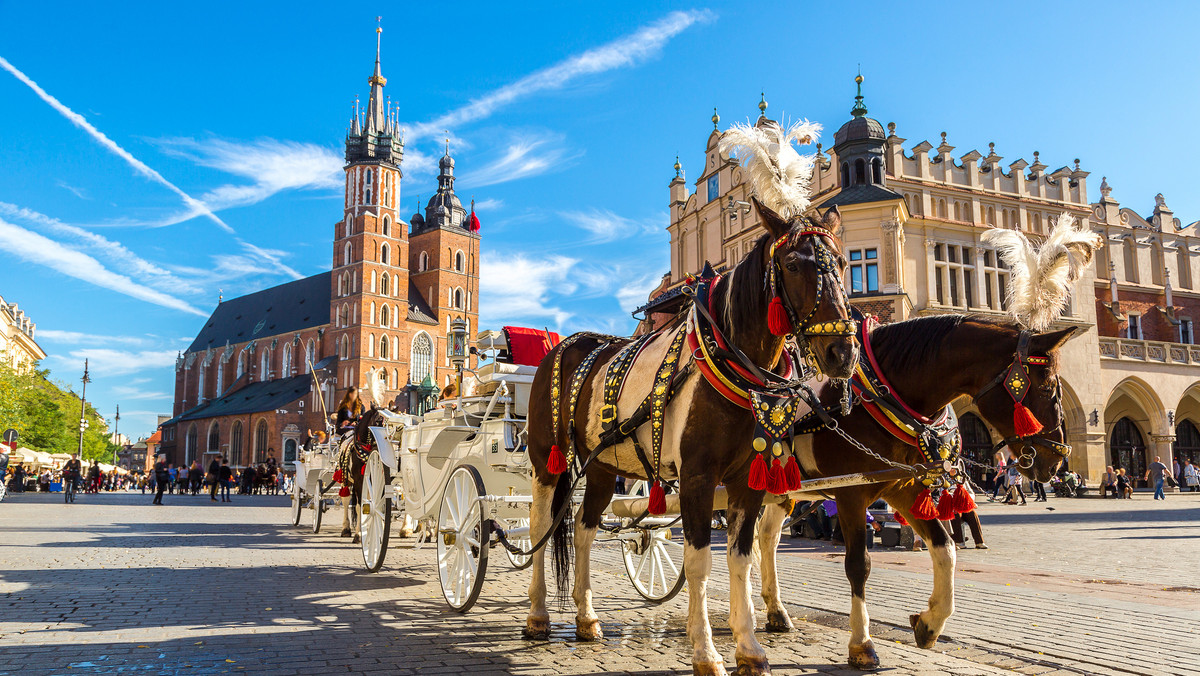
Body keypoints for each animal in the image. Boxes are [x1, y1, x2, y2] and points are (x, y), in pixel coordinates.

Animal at [528, 200, 864, 676]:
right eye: (793, 264)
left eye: (842, 263)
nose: (843, 353)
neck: (730, 364)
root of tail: (562, 345)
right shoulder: (697, 479)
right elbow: (700, 562)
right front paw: (706, 653)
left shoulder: (747, 480)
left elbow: (740, 559)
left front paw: (749, 648)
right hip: (546, 460)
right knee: (541, 526)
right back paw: (538, 615)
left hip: (603, 467)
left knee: (582, 528)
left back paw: (587, 617)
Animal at [758, 314, 1089, 672]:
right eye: (1047, 388)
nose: (1057, 459)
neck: (875, 401)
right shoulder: (851, 494)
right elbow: (858, 565)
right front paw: (862, 644)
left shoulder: (903, 487)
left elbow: (946, 549)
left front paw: (930, 623)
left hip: (781, 491)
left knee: (766, 538)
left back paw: (776, 612)